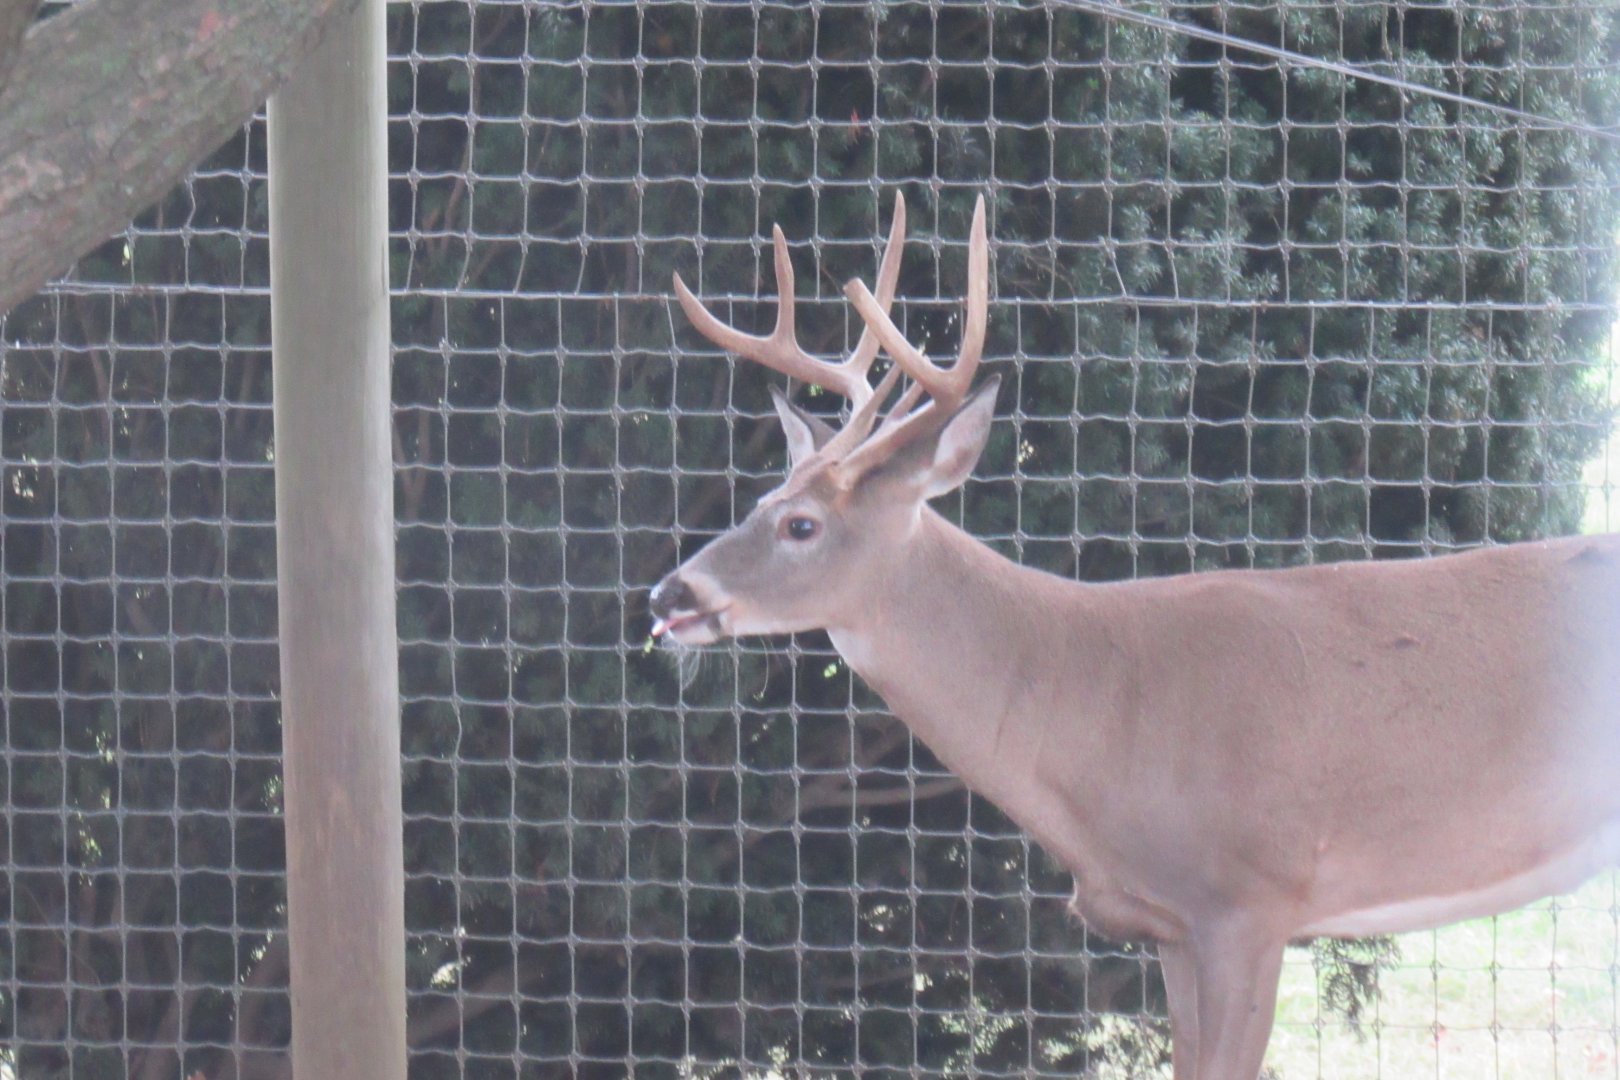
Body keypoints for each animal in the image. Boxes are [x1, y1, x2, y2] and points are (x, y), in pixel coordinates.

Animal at [647, 193, 1620, 1079]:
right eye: (762, 500)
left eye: (801, 525)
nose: (669, 591)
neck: (1099, 710)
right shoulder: (1170, 924)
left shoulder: (1249, 894)